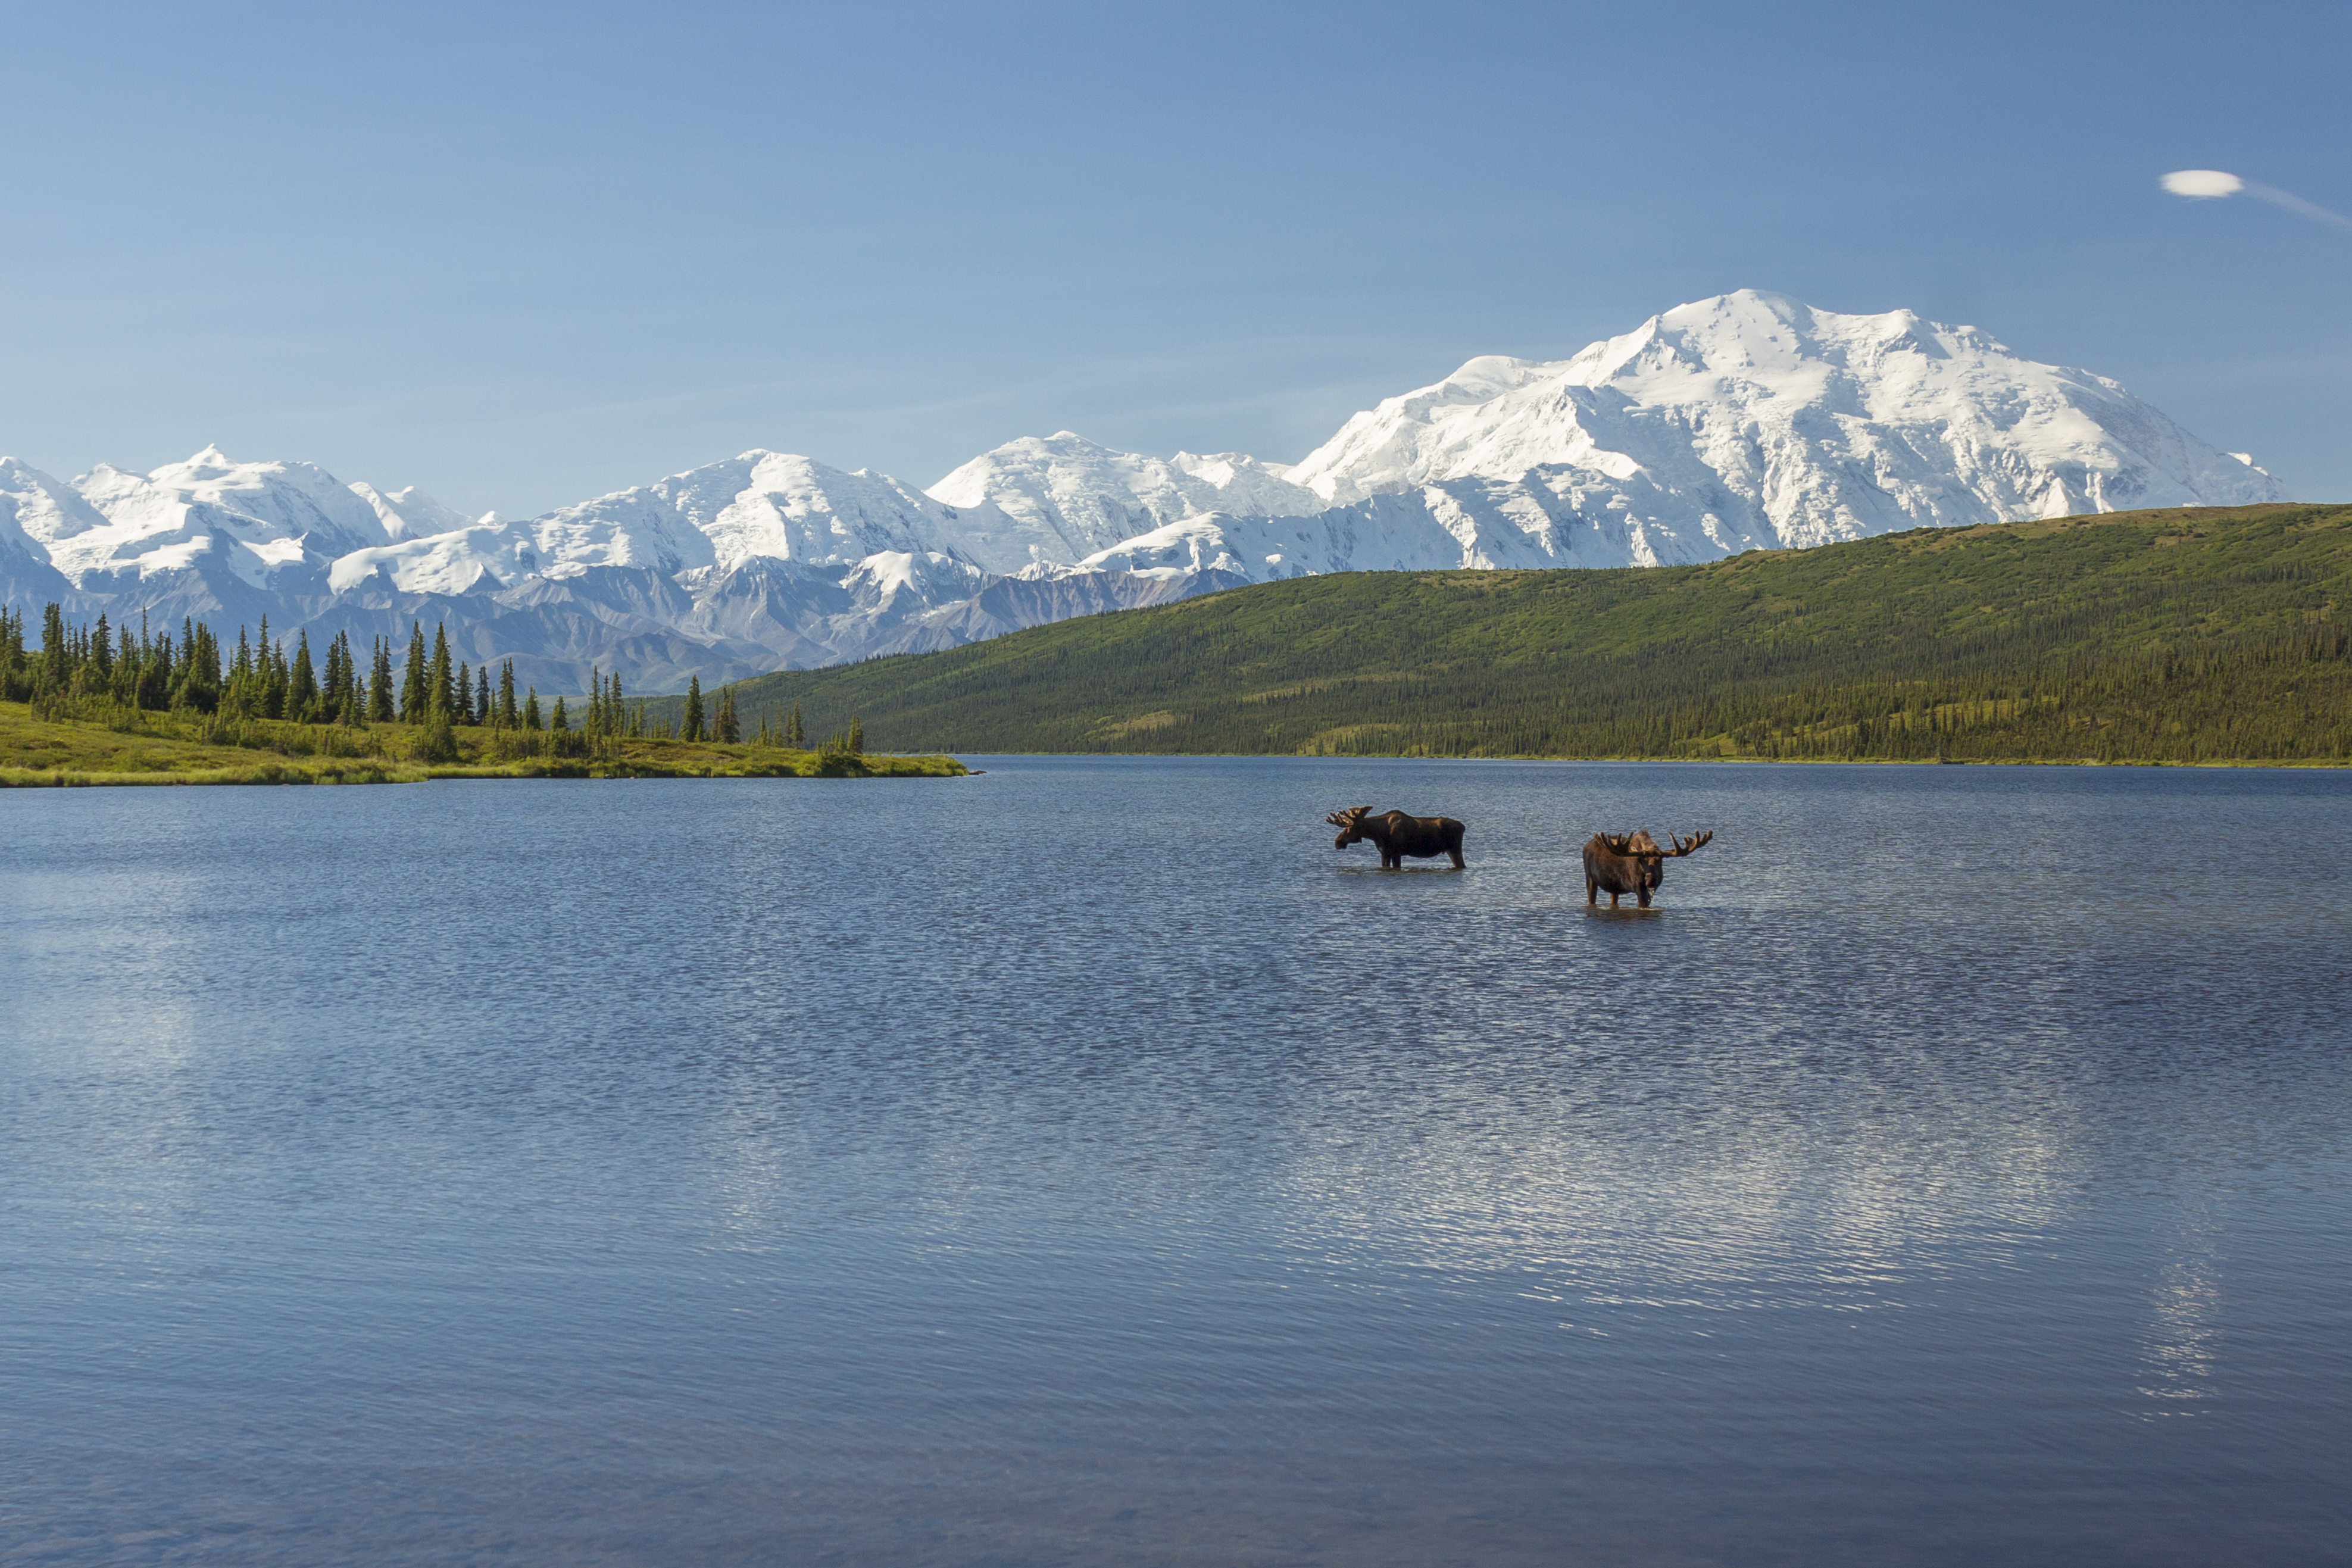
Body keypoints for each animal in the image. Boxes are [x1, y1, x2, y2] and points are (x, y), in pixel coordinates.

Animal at [1326, 808, 1467, 870]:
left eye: (1350, 828)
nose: (1338, 842)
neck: (1377, 834)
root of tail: (1463, 827)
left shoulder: (1396, 853)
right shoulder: (1385, 853)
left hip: (1454, 850)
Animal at [1581, 827, 1712, 912]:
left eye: (1660, 860)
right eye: (1642, 860)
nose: (1652, 880)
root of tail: (1586, 846)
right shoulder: (1638, 886)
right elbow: (1642, 904)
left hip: (1614, 887)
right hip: (1590, 878)